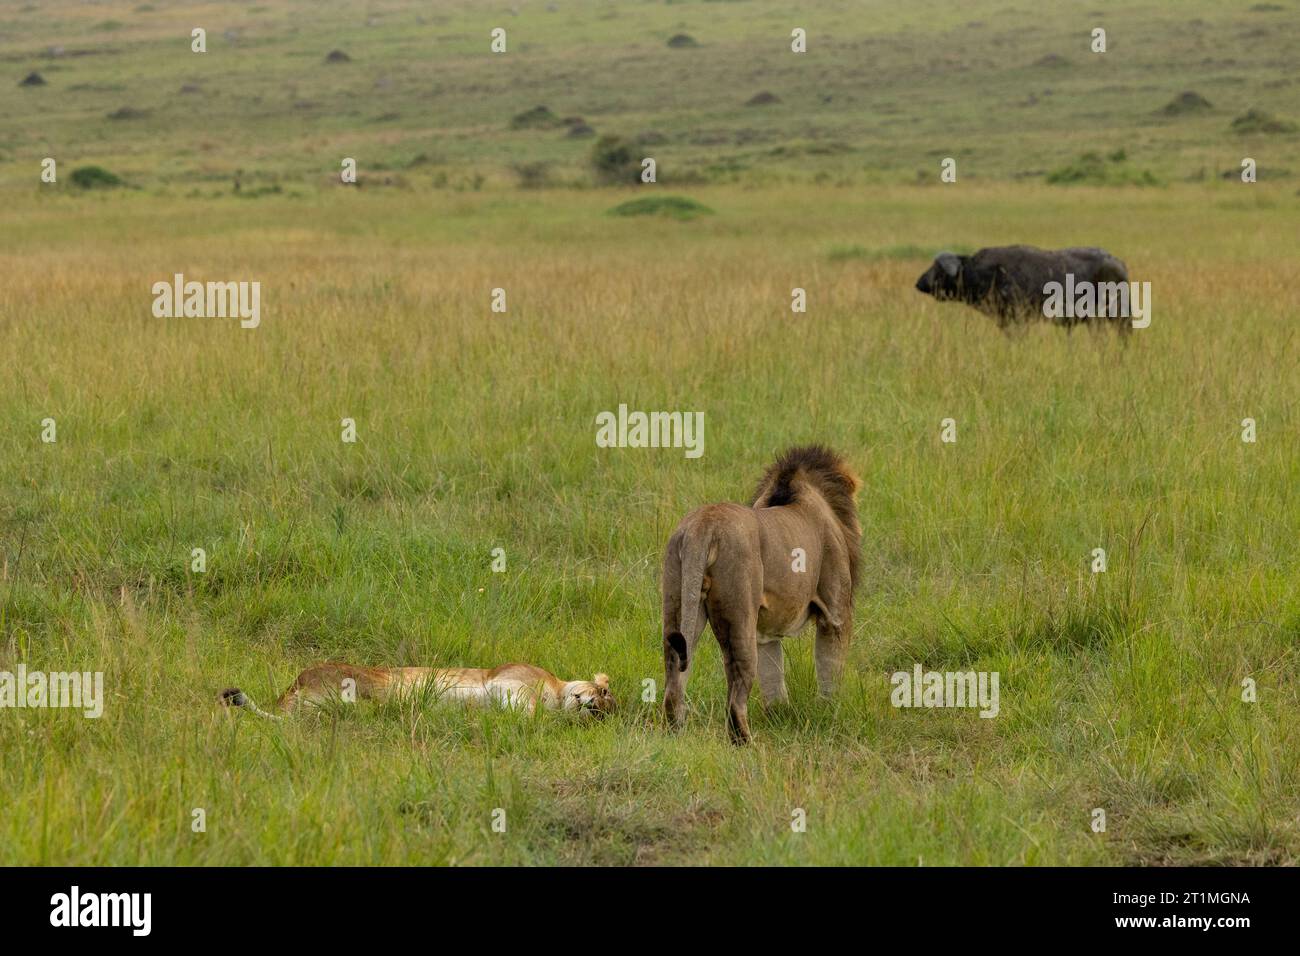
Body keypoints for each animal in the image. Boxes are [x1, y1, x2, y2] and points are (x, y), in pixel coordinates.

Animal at [661, 445, 862, 743]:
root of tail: (703, 526)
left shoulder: (766, 631)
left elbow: (773, 676)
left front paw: (780, 715)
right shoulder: (835, 613)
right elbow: (829, 667)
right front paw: (830, 709)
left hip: (680, 600)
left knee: (674, 676)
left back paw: (677, 734)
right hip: (738, 611)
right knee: (736, 693)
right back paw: (746, 743)